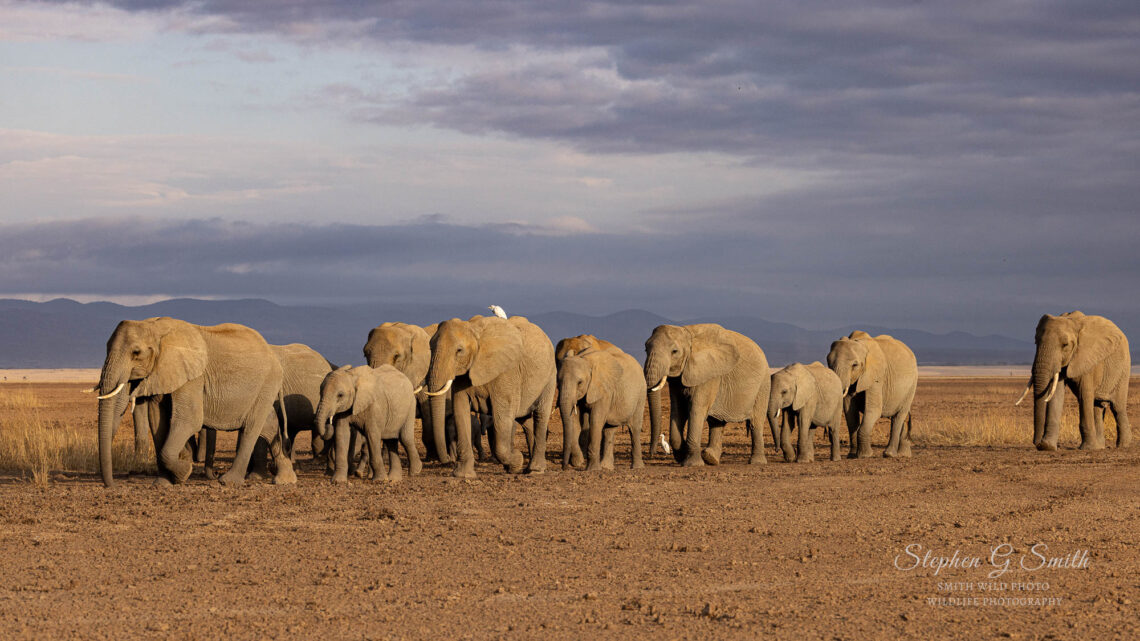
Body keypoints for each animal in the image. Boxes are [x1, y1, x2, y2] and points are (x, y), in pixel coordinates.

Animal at [94, 317, 294, 487]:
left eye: (136, 353)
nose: (112, 486)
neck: (155, 327)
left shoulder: (193, 378)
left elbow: (189, 420)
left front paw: (184, 473)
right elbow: (158, 421)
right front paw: (162, 484)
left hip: (267, 383)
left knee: (250, 428)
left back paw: (228, 481)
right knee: (268, 426)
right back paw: (286, 480)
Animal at [425, 315, 556, 478]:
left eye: (459, 350)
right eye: (430, 348)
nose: (448, 461)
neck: (473, 330)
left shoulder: (506, 372)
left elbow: (503, 415)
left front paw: (516, 460)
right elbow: (460, 410)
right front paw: (463, 475)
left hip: (549, 377)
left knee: (540, 416)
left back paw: (535, 470)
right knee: (525, 420)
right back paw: (529, 468)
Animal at [643, 323, 771, 467]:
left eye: (674, 351)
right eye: (645, 349)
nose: (651, 453)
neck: (688, 335)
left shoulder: (708, 375)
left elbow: (696, 410)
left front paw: (692, 464)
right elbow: (678, 411)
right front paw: (682, 456)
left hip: (763, 386)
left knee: (756, 422)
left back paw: (756, 462)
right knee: (716, 422)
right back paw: (710, 458)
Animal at [1017, 311, 1131, 451]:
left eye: (1065, 345)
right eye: (1036, 342)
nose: (1037, 443)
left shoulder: (1087, 357)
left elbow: (1084, 395)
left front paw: (1087, 448)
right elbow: (1057, 394)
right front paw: (1047, 446)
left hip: (1123, 369)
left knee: (1117, 407)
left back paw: (1123, 446)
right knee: (1097, 406)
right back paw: (1100, 447)